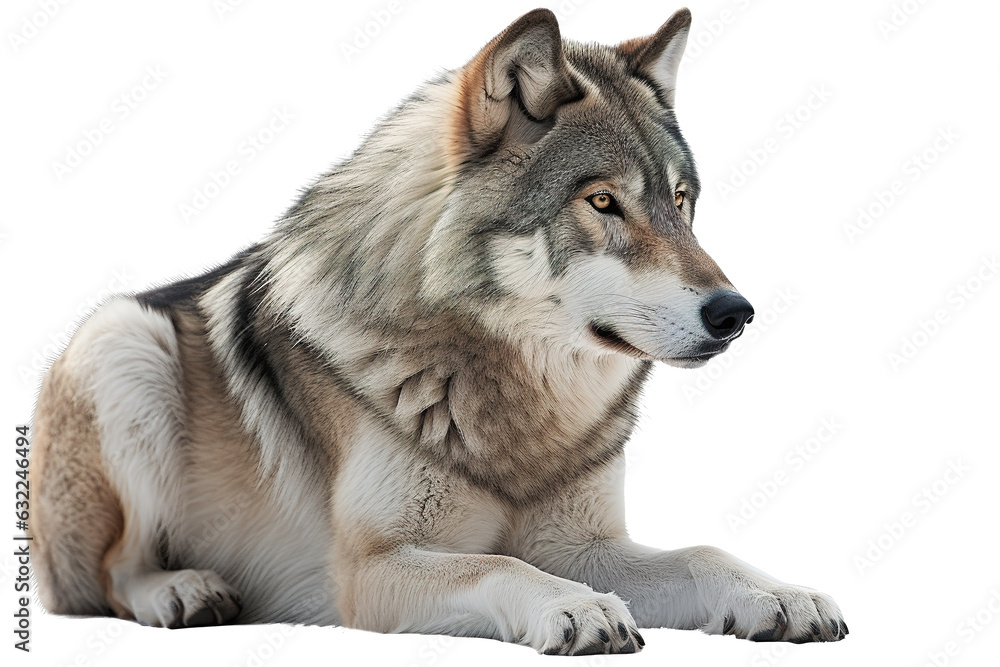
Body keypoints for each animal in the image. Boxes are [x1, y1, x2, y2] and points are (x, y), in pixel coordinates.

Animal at [29, 8, 846, 655]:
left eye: (680, 201)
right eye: (602, 201)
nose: (734, 311)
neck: (526, 408)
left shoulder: (587, 545)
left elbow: (703, 551)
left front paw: (780, 594)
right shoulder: (371, 570)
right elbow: (501, 565)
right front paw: (572, 607)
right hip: (123, 343)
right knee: (114, 571)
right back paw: (185, 591)